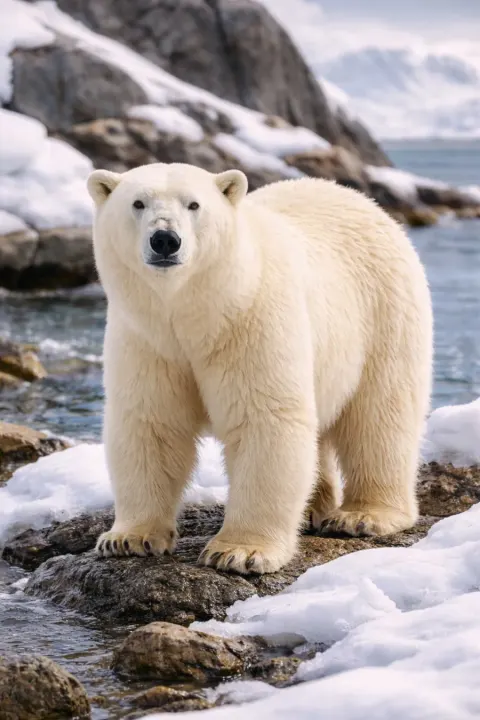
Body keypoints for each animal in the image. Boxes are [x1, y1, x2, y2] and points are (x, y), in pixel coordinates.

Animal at [87, 162, 433, 575]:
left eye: (194, 204)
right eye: (138, 203)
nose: (165, 240)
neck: (197, 315)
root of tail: (365, 202)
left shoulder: (252, 320)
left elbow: (264, 420)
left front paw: (240, 552)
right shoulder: (147, 340)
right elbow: (151, 422)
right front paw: (127, 538)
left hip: (383, 312)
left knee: (379, 415)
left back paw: (363, 515)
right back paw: (315, 506)